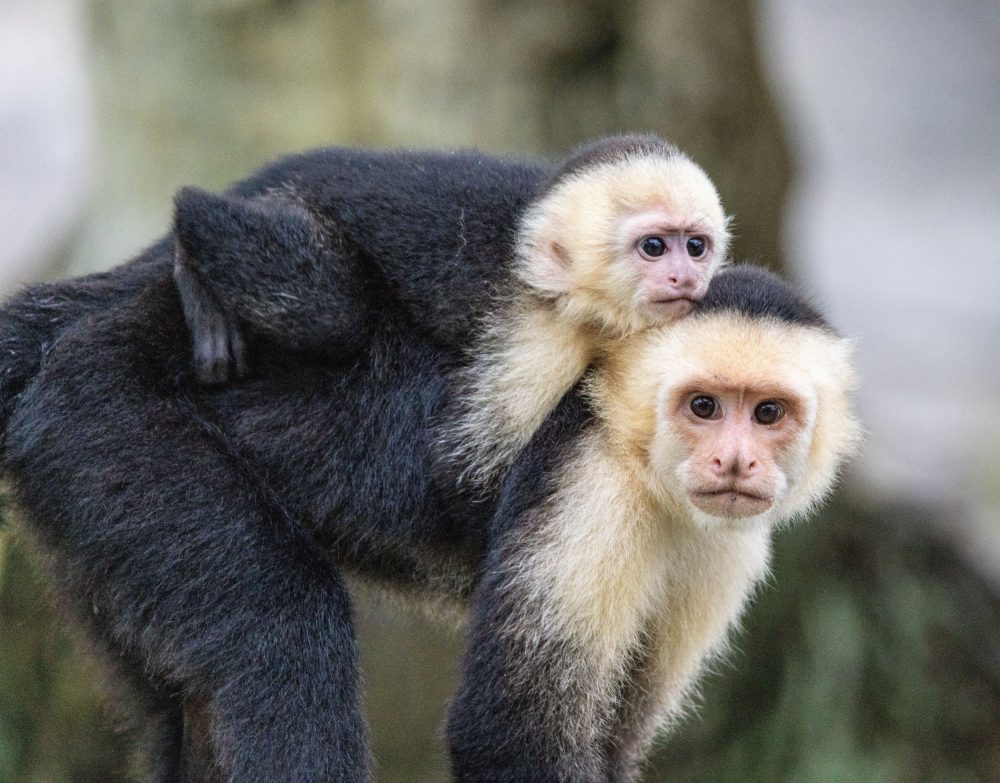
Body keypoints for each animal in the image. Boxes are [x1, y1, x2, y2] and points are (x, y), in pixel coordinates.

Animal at [1, 255, 859, 782]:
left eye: (769, 413)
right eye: (703, 406)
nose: (734, 462)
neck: (639, 456)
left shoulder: (726, 550)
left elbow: (616, 737)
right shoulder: (589, 486)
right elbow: (508, 734)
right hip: (108, 419)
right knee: (276, 625)